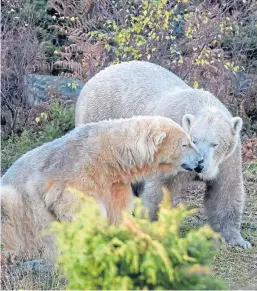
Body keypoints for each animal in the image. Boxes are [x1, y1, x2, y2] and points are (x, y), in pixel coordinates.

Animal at [2, 116, 202, 262]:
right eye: (185, 144)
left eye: (191, 140)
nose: (200, 160)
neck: (109, 156)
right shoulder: (78, 171)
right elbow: (73, 204)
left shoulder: (115, 183)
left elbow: (118, 211)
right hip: (19, 210)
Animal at [75, 60, 250, 248]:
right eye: (194, 140)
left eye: (215, 144)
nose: (200, 165)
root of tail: (95, 77)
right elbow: (161, 188)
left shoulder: (228, 158)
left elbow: (226, 189)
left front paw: (237, 239)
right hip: (99, 117)